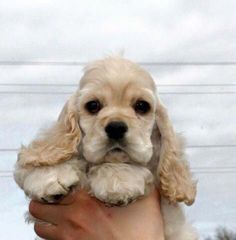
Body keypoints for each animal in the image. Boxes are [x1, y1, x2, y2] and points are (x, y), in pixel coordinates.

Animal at [14, 56, 197, 238]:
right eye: (93, 105)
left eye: (142, 106)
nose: (116, 127)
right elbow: (45, 152)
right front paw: (50, 175)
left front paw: (117, 180)